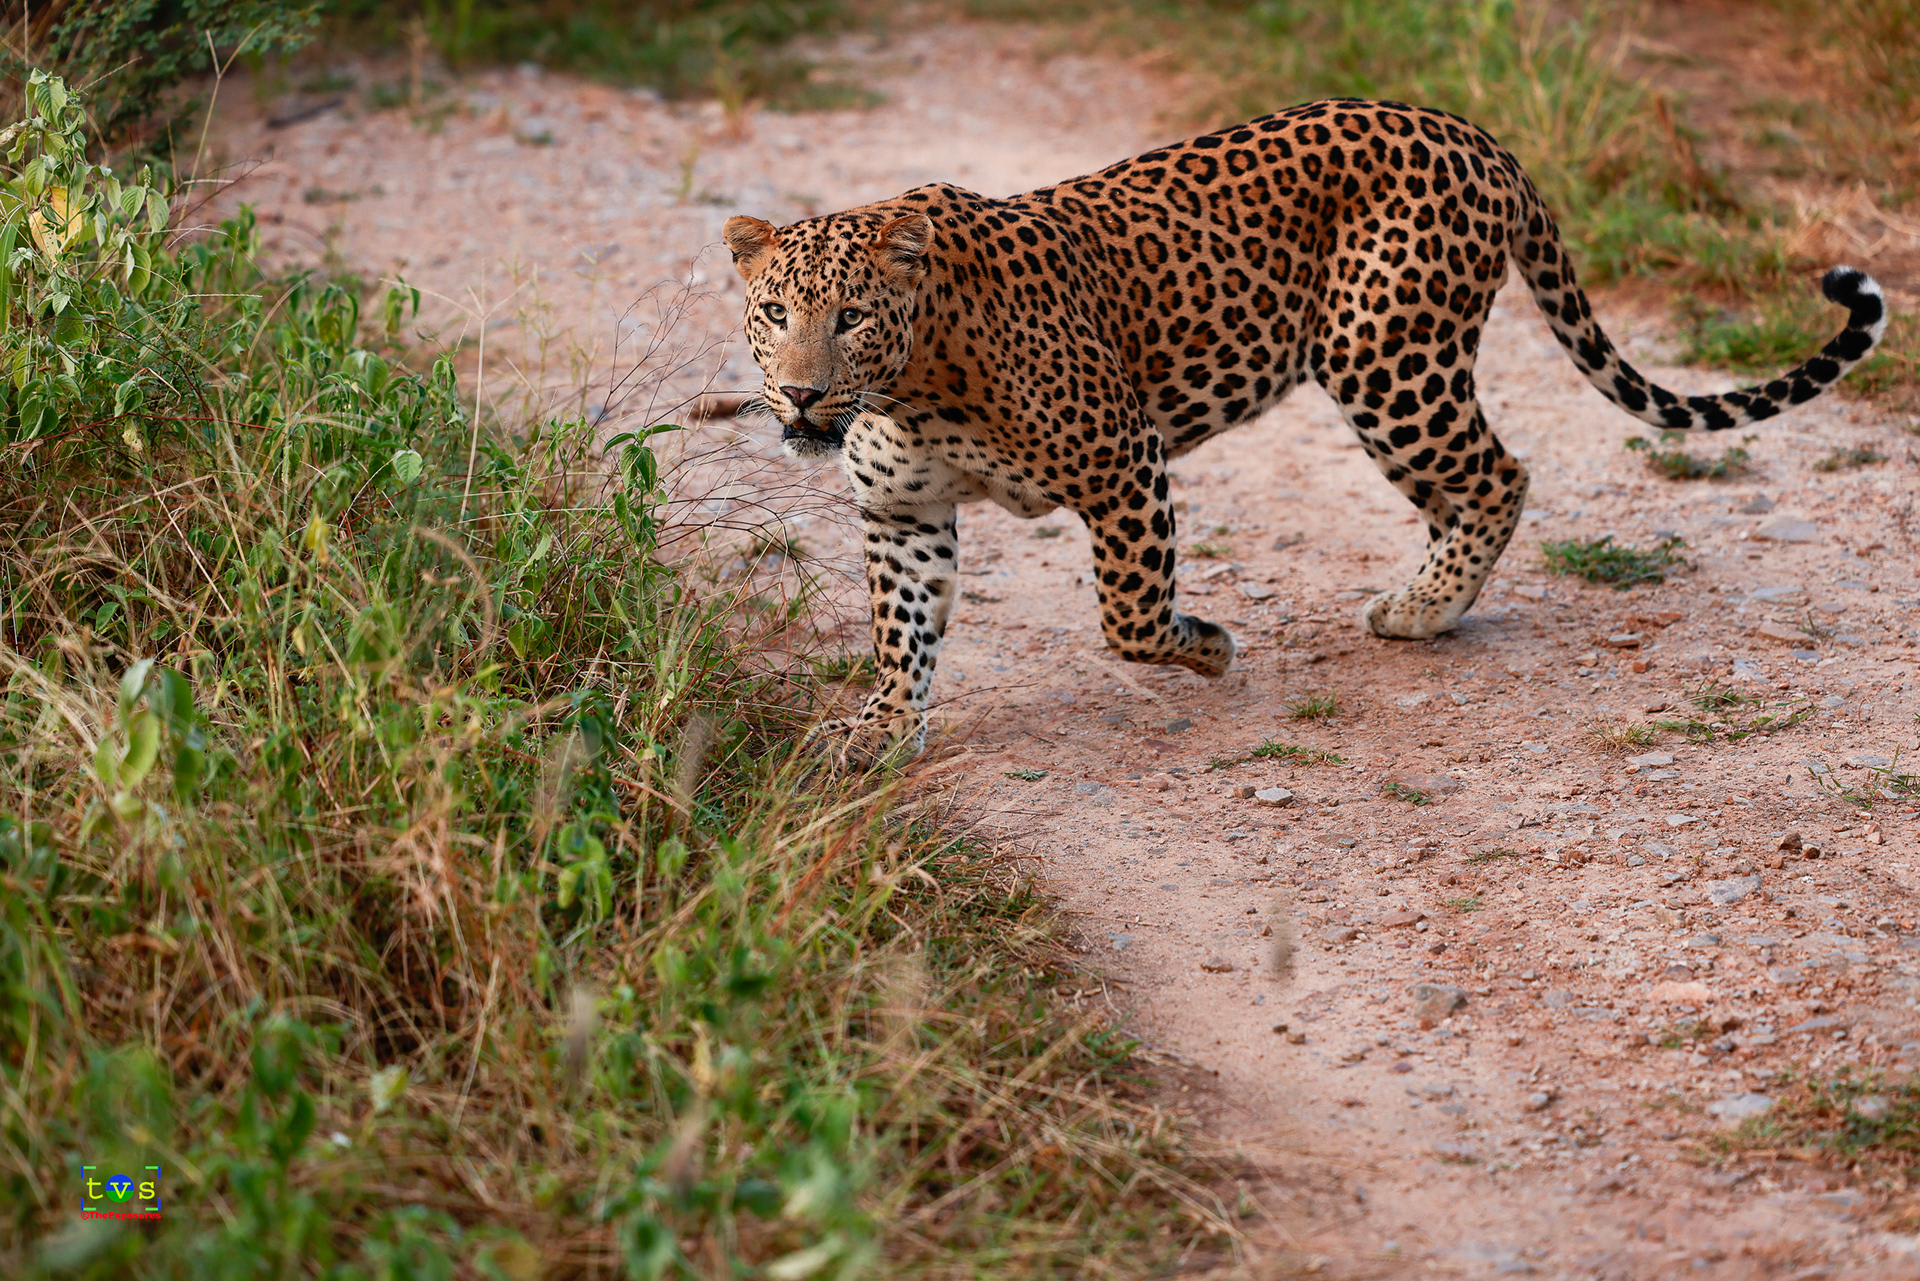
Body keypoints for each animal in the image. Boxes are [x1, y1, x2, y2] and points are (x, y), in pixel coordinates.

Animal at [722, 98, 1887, 768]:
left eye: (851, 316)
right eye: (774, 312)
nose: (801, 398)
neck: (912, 383)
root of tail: (1475, 135)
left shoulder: (1125, 466)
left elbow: (1130, 617)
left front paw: (1208, 648)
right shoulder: (904, 511)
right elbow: (902, 631)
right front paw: (881, 730)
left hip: (1385, 359)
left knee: (1502, 473)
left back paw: (1419, 612)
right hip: (1392, 379)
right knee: (1462, 489)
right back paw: (1431, 598)